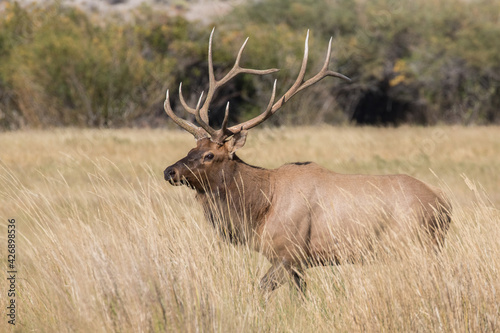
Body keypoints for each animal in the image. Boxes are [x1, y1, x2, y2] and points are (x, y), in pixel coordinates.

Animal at [162, 29, 452, 294]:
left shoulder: (290, 252)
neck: (259, 208)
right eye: (192, 148)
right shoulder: (295, 263)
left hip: (419, 244)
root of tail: (444, 204)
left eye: (210, 155)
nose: (169, 171)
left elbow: (262, 288)